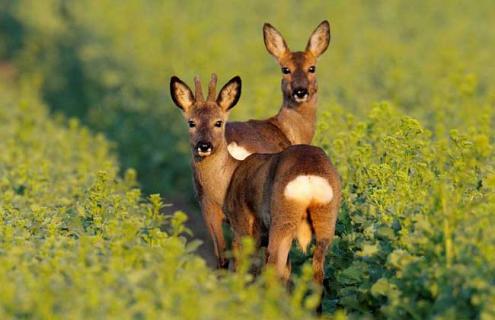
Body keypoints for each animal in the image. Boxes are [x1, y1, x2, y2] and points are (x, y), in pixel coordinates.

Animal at [170, 74, 340, 284]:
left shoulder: (240, 224)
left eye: (218, 122)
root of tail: (309, 178)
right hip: (327, 220)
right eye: (191, 122)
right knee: (316, 272)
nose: (204, 145)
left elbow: (236, 265)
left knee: (274, 268)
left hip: (282, 220)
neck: (230, 174)